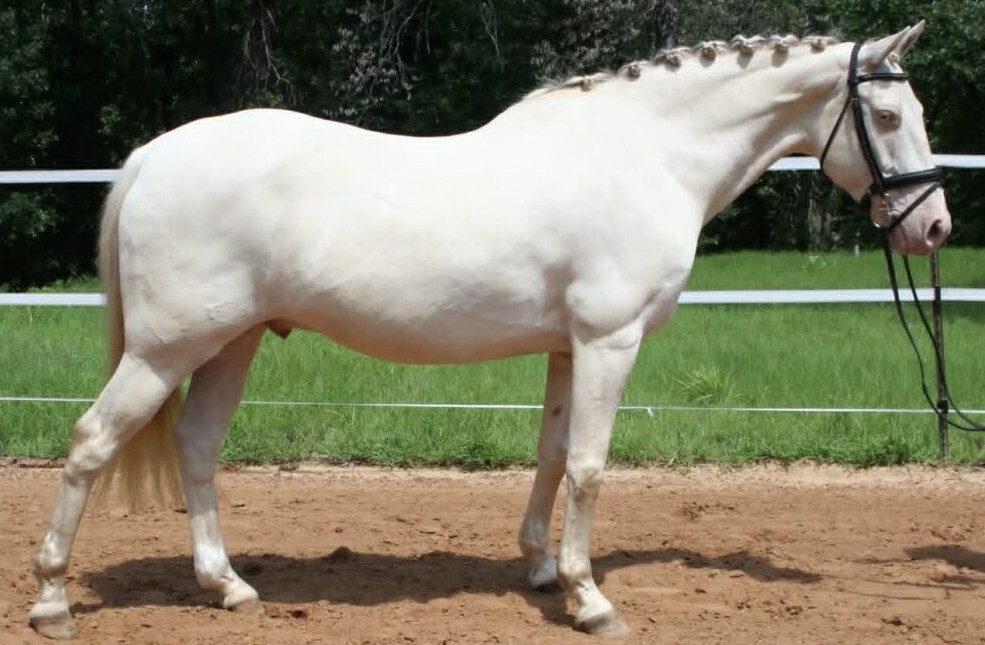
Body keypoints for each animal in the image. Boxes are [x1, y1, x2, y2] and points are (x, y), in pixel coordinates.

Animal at [30, 22, 950, 639]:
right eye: (887, 114)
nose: (933, 227)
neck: (645, 155)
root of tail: (154, 155)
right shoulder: (609, 341)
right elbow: (589, 465)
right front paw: (591, 599)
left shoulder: (565, 347)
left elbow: (550, 454)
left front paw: (542, 569)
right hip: (166, 348)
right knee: (89, 442)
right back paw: (51, 599)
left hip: (235, 340)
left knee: (196, 444)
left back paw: (227, 586)